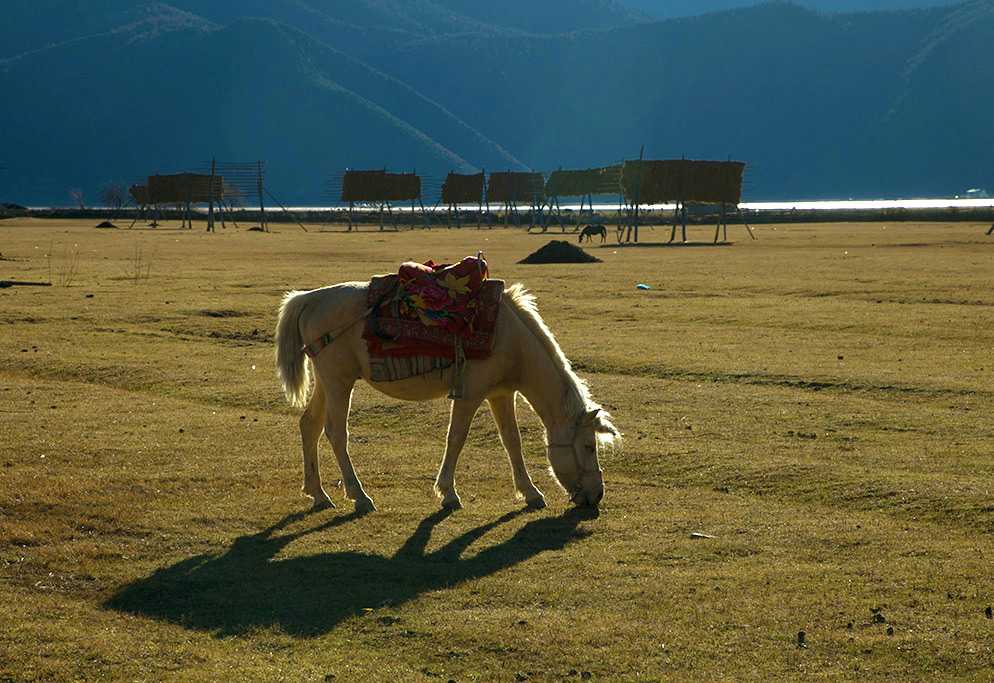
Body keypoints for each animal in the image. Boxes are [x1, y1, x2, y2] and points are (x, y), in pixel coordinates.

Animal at [276, 282, 616, 512]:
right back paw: (359, 497)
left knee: (309, 425)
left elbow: (512, 440)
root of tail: (309, 298)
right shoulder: (471, 394)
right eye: (589, 446)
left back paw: (318, 494)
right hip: (339, 382)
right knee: (336, 432)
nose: (597, 495)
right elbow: (457, 438)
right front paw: (448, 493)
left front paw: (530, 492)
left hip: (327, 381)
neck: (509, 337)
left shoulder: (501, 394)